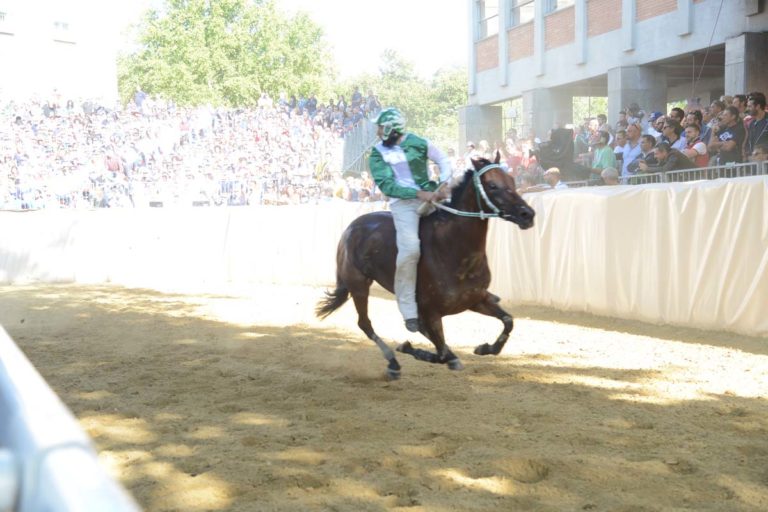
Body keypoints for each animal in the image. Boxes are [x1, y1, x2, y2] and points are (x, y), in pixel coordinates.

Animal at [312, 154, 536, 378]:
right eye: (492, 185)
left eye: (512, 181)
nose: (527, 214)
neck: (454, 251)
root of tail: (351, 228)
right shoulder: (430, 311)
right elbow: (442, 354)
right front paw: (409, 348)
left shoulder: (476, 299)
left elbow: (508, 321)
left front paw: (485, 347)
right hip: (358, 285)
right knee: (365, 323)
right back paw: (393, 361)